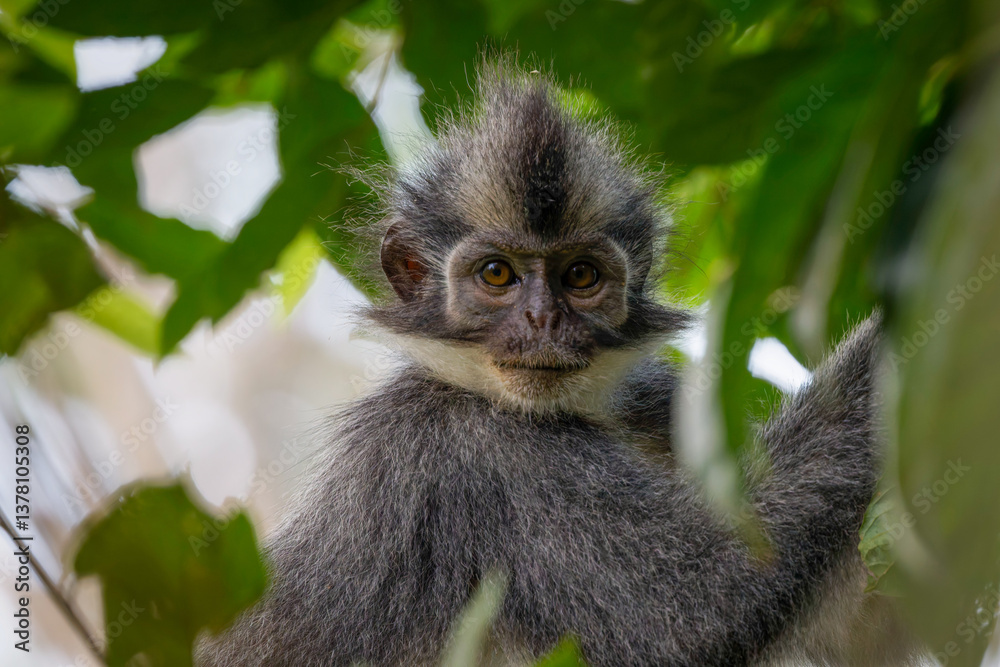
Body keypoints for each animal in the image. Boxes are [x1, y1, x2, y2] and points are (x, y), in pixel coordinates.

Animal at [198, 59, 921, 666]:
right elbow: (698, 606)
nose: (542, 321)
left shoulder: (657, 401)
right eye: (497, 275)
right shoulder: (462, 450)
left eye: (579, 276)